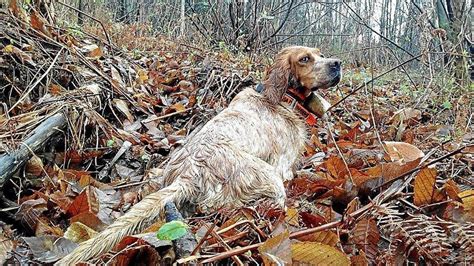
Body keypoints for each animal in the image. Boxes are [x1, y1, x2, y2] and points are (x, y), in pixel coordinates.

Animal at [58, 45, 340, 264]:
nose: (337, 63)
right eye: (305, 59)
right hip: (269, 179)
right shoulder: (282, 166)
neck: (280, 98)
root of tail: (189, 173)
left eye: (320, 54)